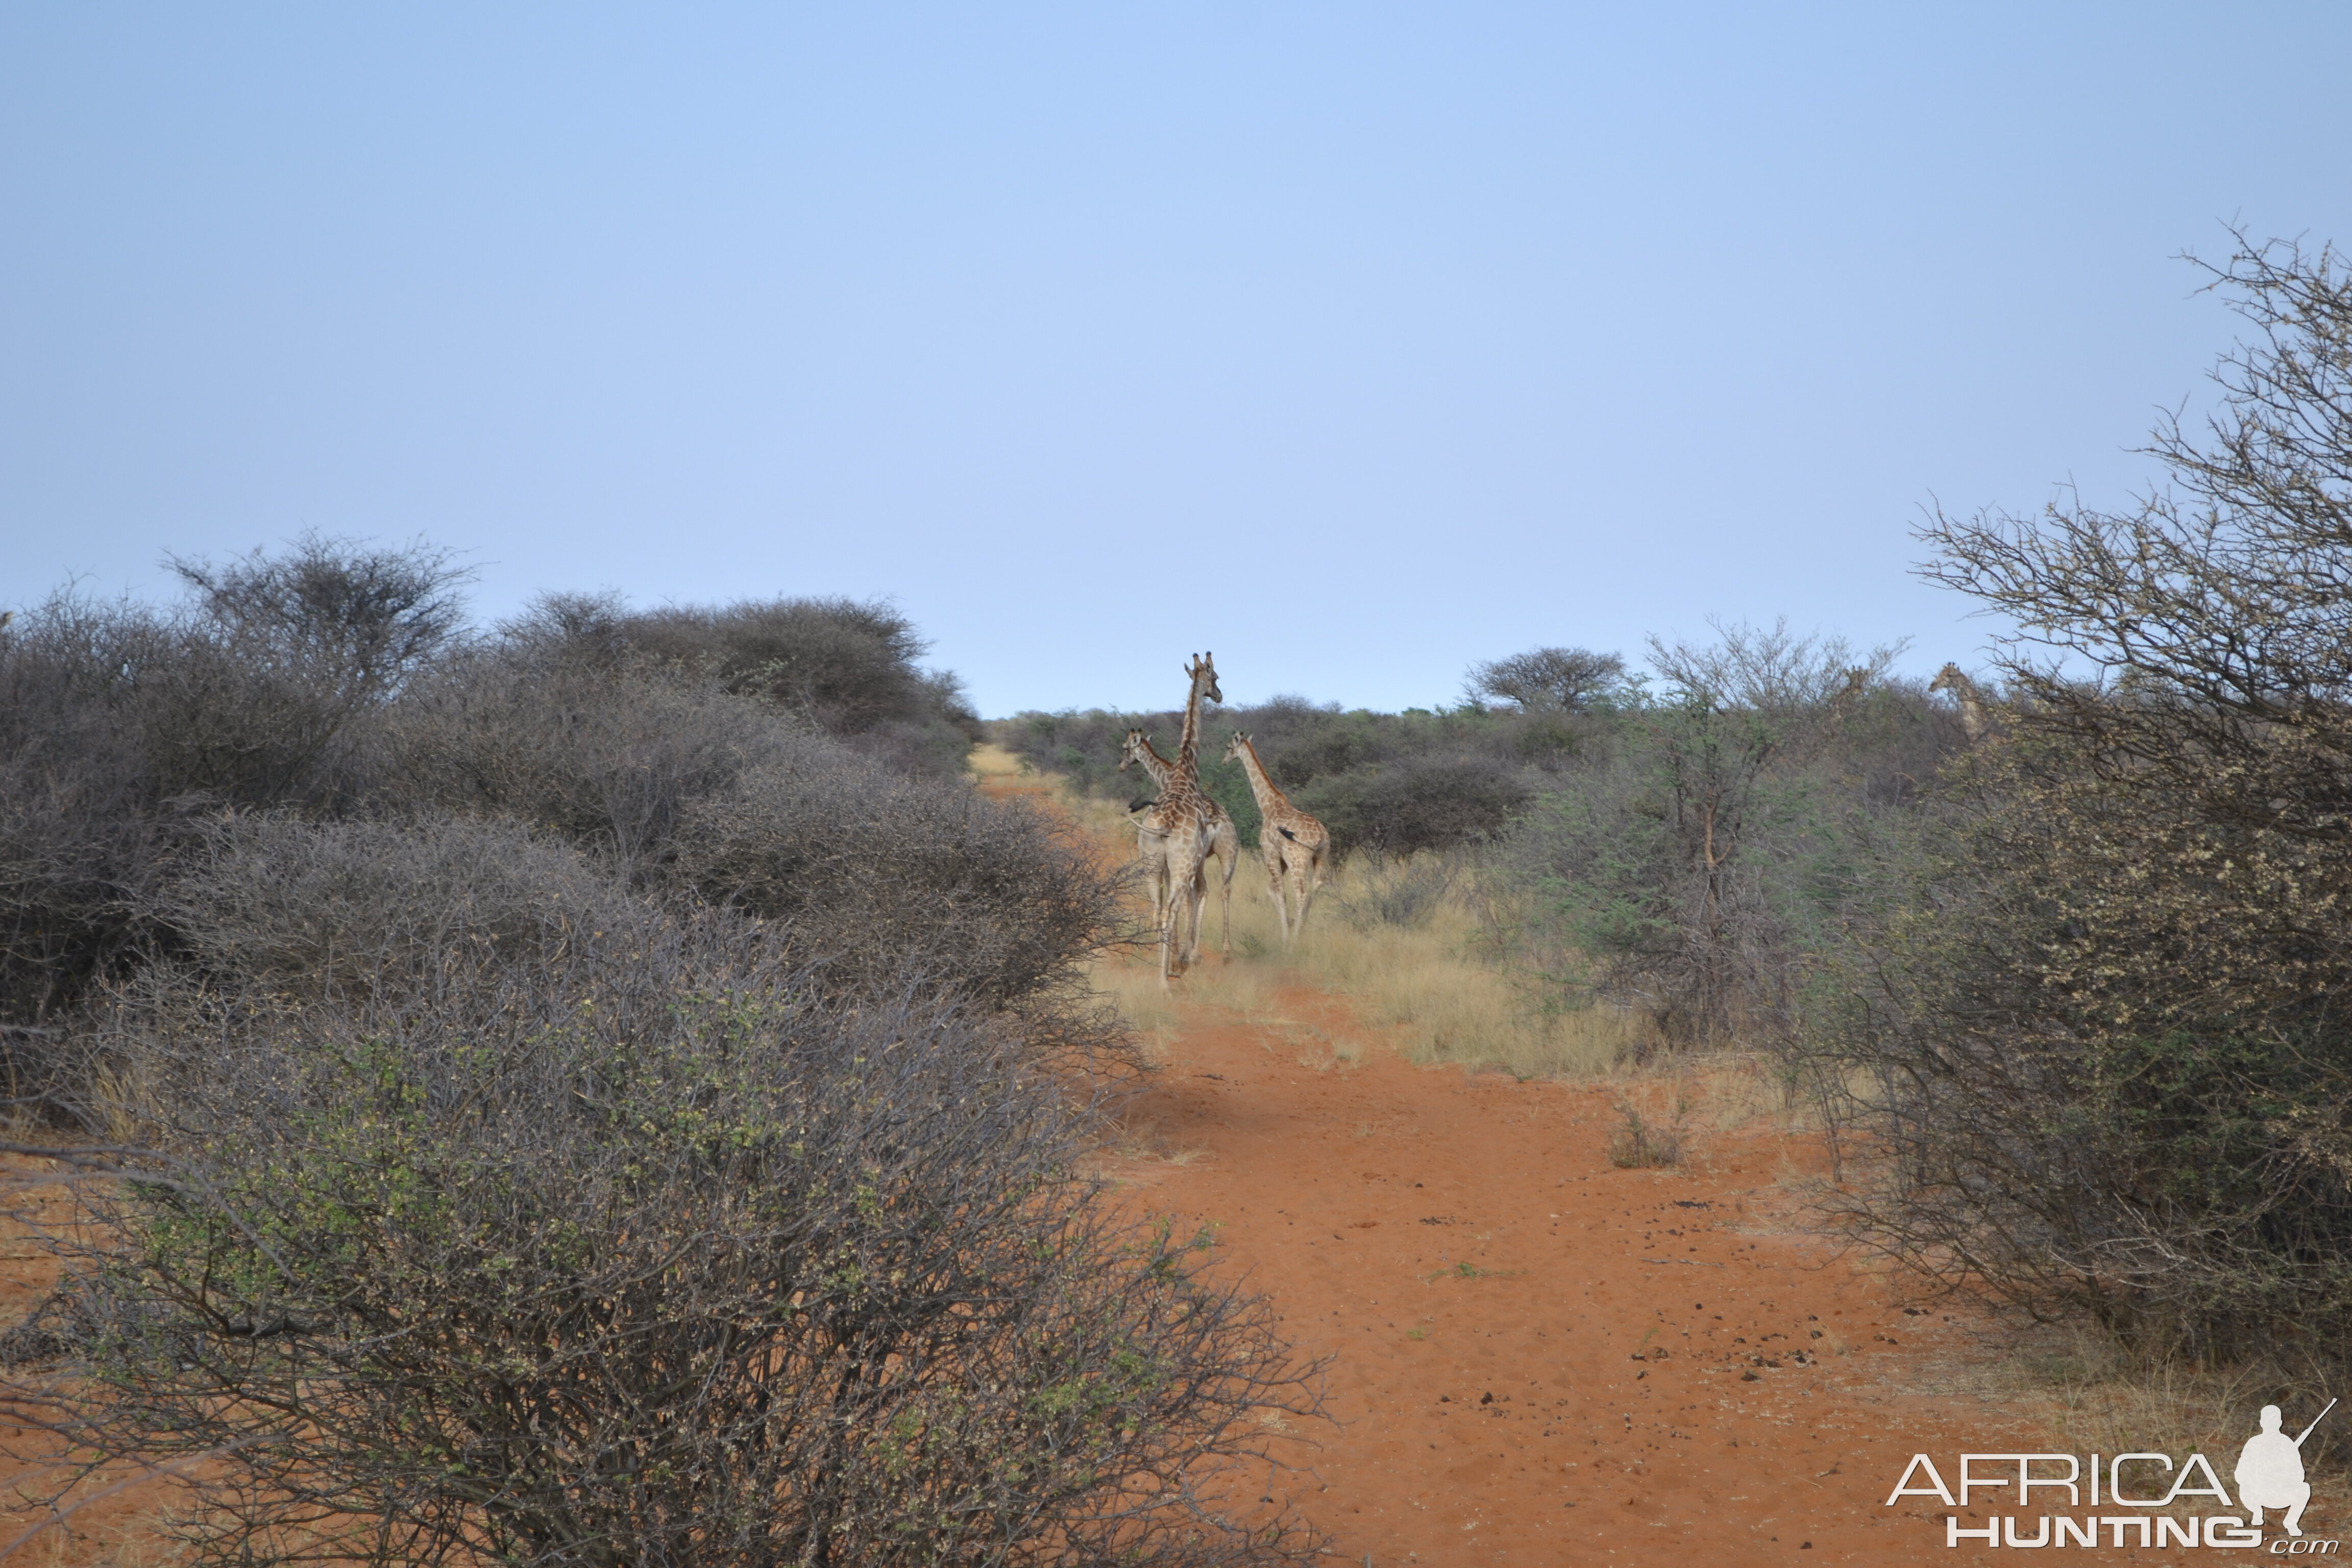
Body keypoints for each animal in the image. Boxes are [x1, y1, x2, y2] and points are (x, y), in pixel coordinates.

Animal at [1110, 728, 1242, 964]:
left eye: (1125, 747)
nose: (1121, 766)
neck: (1167, 778)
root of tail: (1217, 821)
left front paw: (1174, 948)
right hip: (1228, 852)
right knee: (1222, 889)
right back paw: (1224, 952)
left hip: (1198, 857)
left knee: (1198, 891)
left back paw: (1190, 953)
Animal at [1124, 649, 1223, 983]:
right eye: (1215, 676)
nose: (1219, 695)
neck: (1184, 770)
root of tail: (1165, 826)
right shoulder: (1193, 862)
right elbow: (1194, 900)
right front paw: (1185, 958)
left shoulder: (1167, 866)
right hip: (1183, 865)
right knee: (1173, 909)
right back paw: (1167, 980)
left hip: (1151, 865)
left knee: (1158, 910)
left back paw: (1161, 968)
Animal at [1223, 733, 1336, 945]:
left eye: (1229, 747)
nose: (1224, 760)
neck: (1268, 805)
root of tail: (1320, 835)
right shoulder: (1281, 859)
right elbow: (1271, 890)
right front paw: (1290, 924)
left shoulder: (1270, 853)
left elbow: (1280, 892)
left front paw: (1286, 935)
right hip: (1322, 856)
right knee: (1315, 887)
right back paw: (1302, 928)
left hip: (1298, 860)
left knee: (1301, 892)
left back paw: (1295, 940)